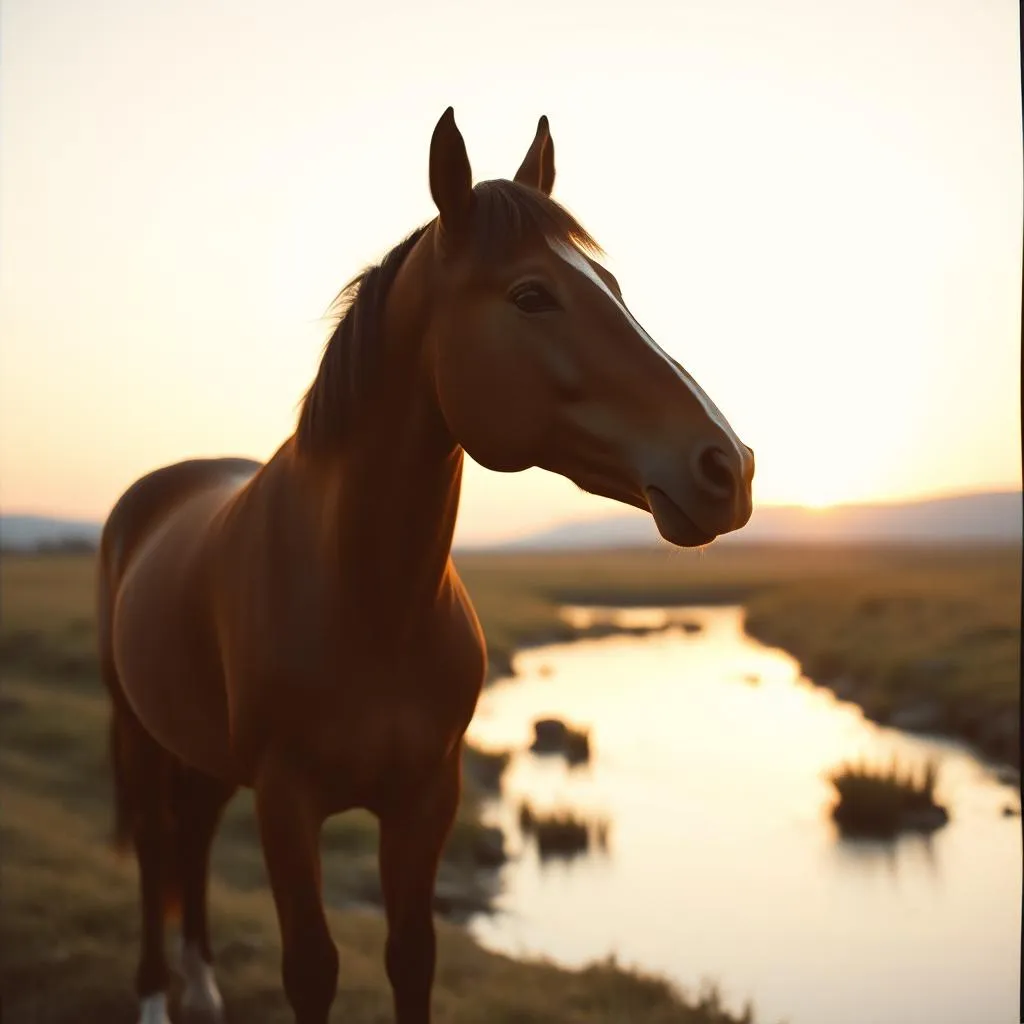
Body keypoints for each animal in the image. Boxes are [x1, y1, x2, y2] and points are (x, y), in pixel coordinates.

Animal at [97, 107, 754, 1024]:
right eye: (531, 294)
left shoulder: (426, 798)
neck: (368, 599)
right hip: (140, 730)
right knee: (162, 845)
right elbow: (313, 967)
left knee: (191, 838)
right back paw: (159, 995)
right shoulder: (286, 804)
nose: (728, 467)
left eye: (612, 288)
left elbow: (412, 956)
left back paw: (201, 983)